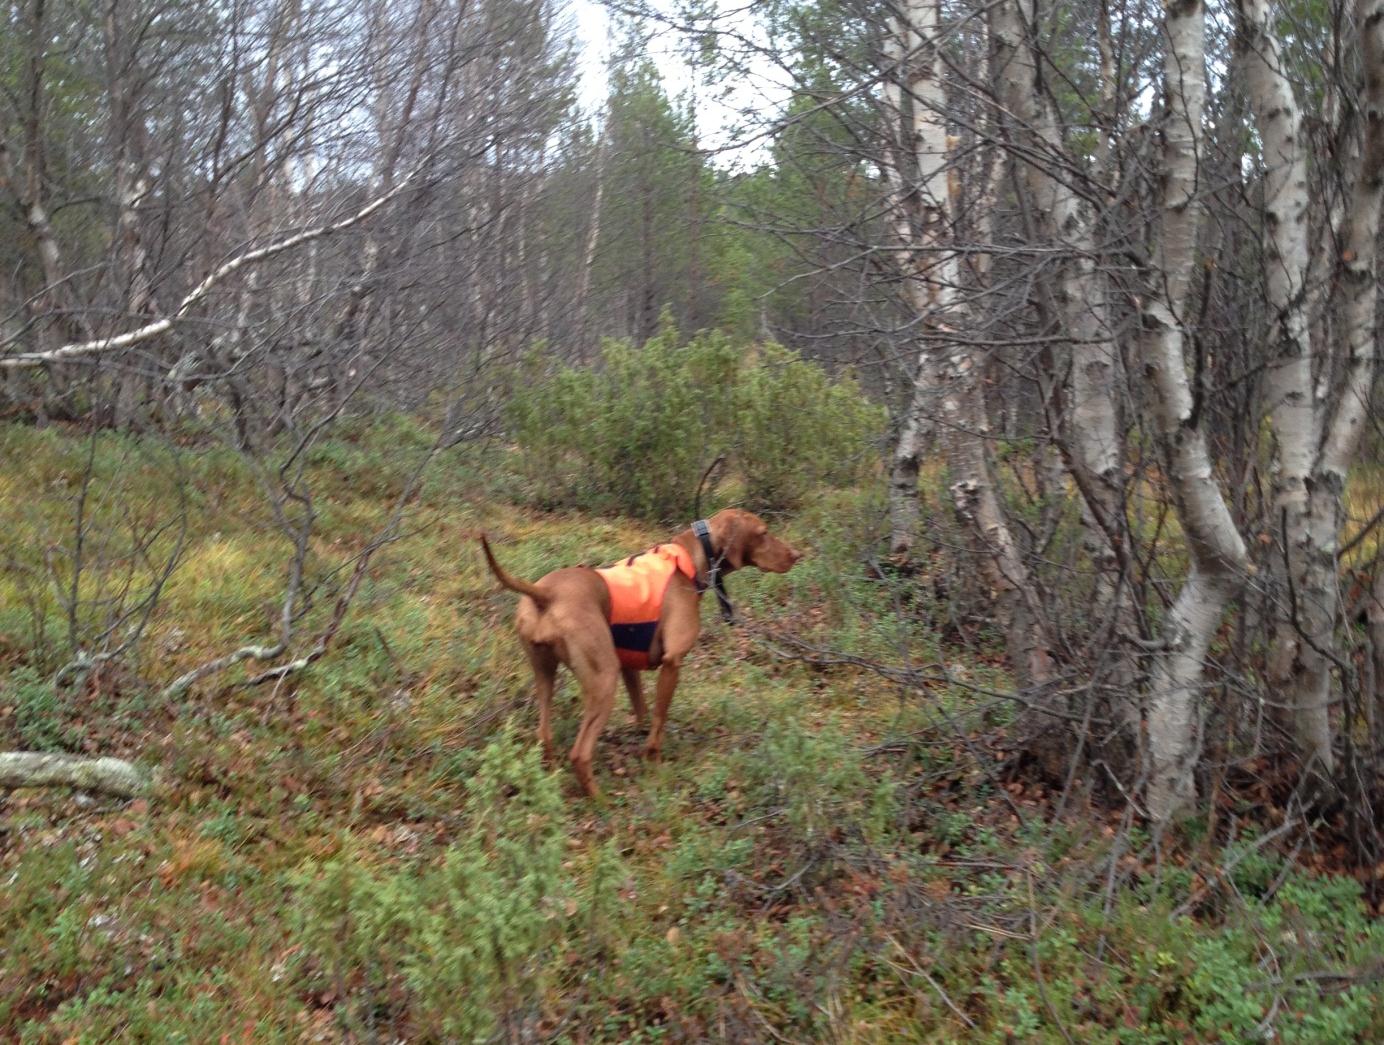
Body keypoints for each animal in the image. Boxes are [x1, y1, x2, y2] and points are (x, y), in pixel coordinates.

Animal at [478, 512, 802, 797]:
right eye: (763, 532)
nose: (797, 555)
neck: (691, 555)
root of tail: (545, 594)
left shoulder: (628, 667)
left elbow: (643, 712)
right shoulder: (672, 662)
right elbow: (659, 718)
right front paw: (653, 760)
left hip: (545, 673)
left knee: (544, 734)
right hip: (603, 681)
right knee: (580, 754)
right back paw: (601, 801)